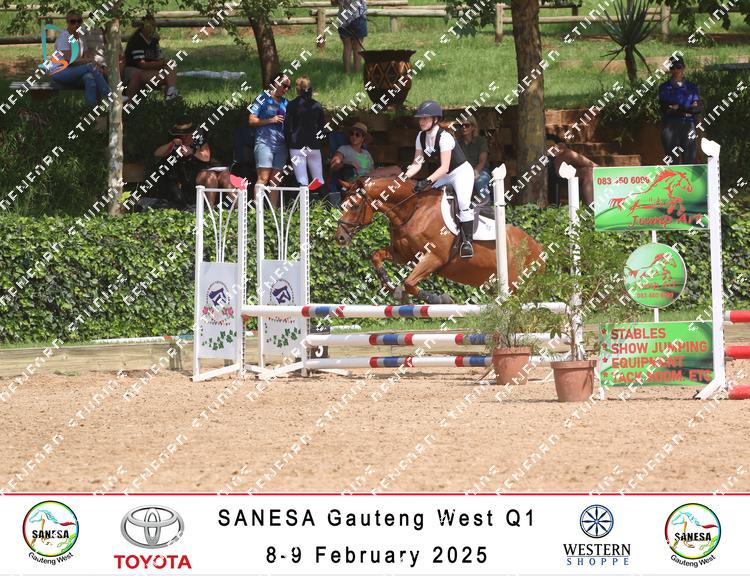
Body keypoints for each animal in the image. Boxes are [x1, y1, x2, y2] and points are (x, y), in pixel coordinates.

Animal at [335, 175, 546, 304]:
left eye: (354, 206)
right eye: (343, 204)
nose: (340, 238)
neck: (413, 210)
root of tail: (539, 248)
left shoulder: (434, 258)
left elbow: (409, 283)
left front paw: (440, 300)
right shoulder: (403, 255)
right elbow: (376, 256)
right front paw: (393, 289)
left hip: (517, 286)